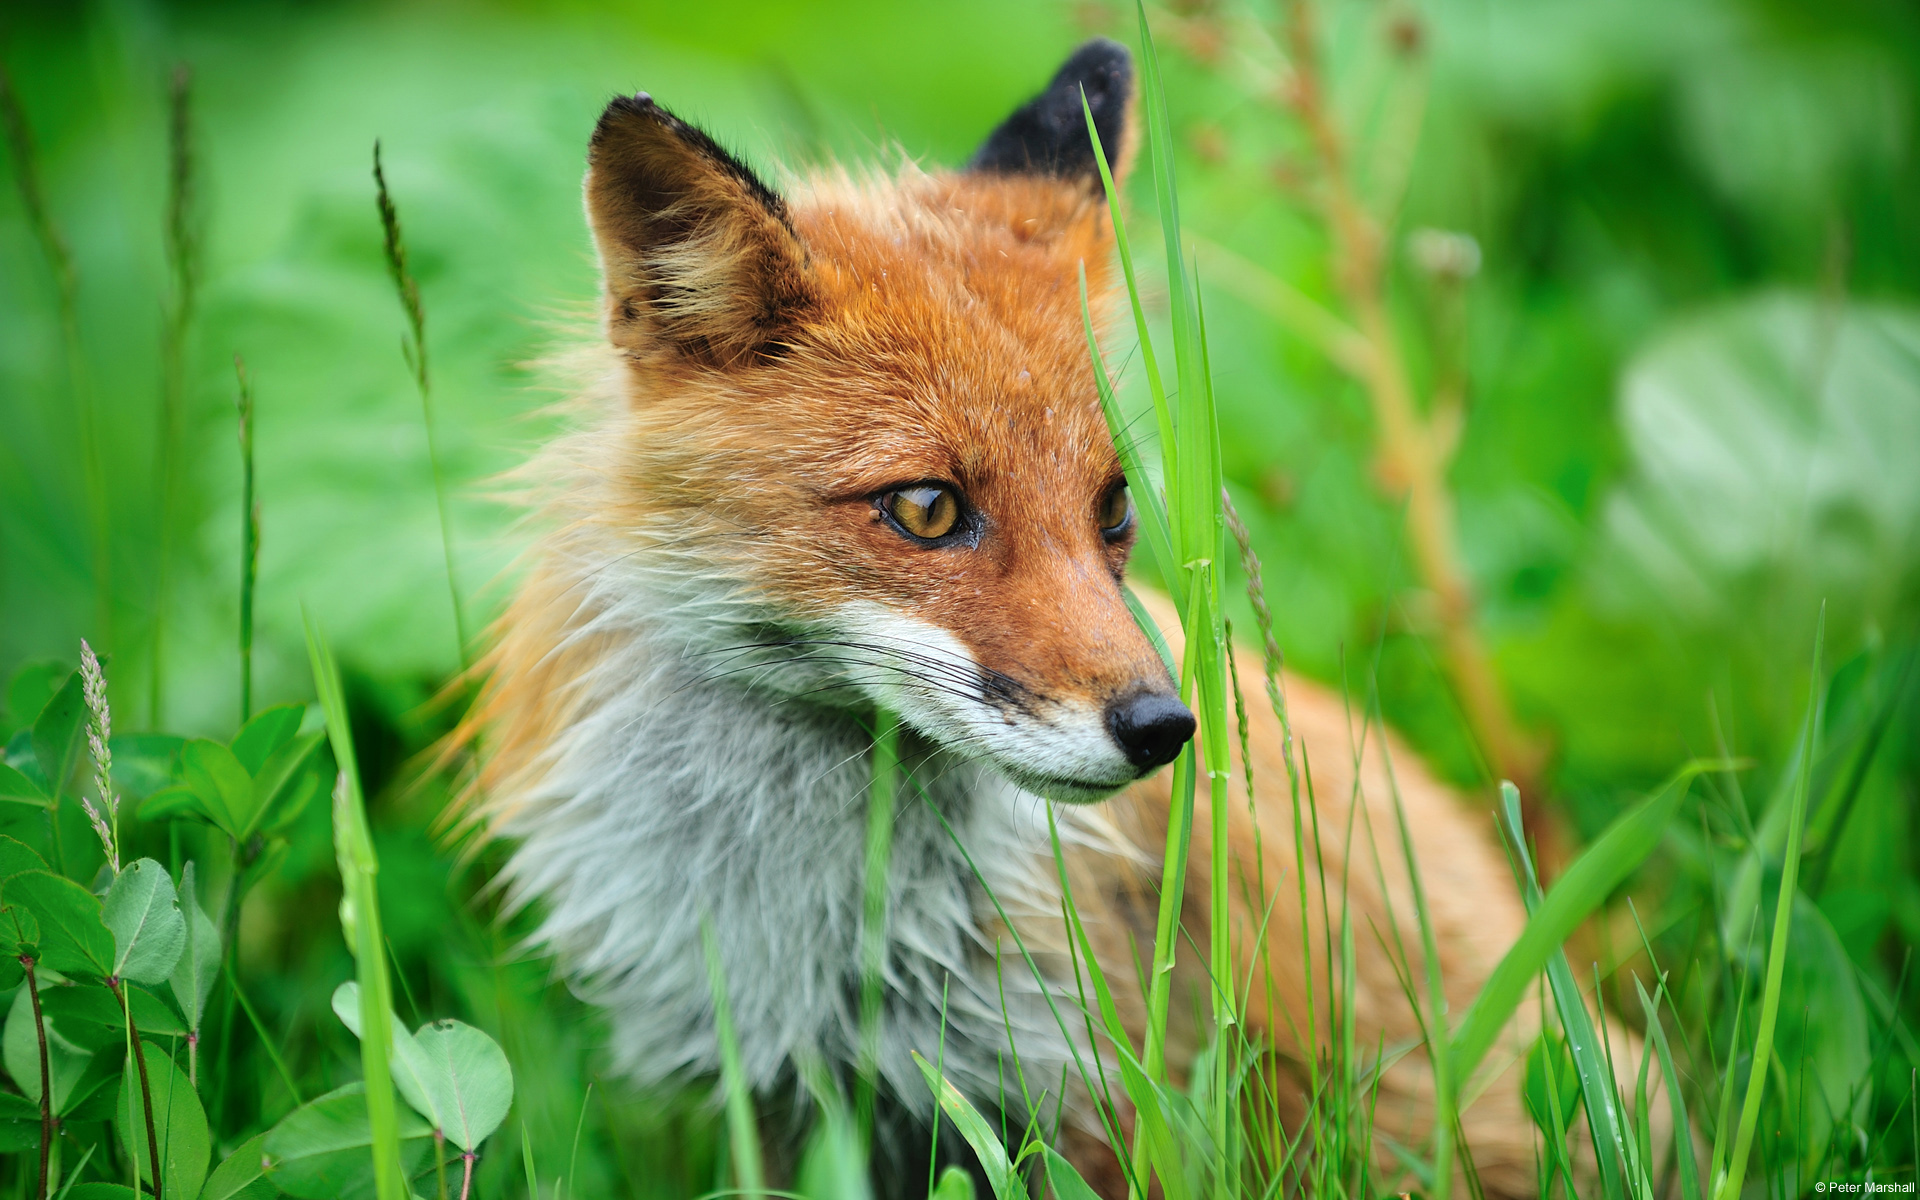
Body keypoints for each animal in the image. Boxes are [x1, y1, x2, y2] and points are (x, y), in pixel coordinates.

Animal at [469, 37, 1610, 1199]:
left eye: (1111, 509)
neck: (815, 916)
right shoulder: (785, 1096)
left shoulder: (1090, 1100)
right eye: (927, 509)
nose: (1165, 728)